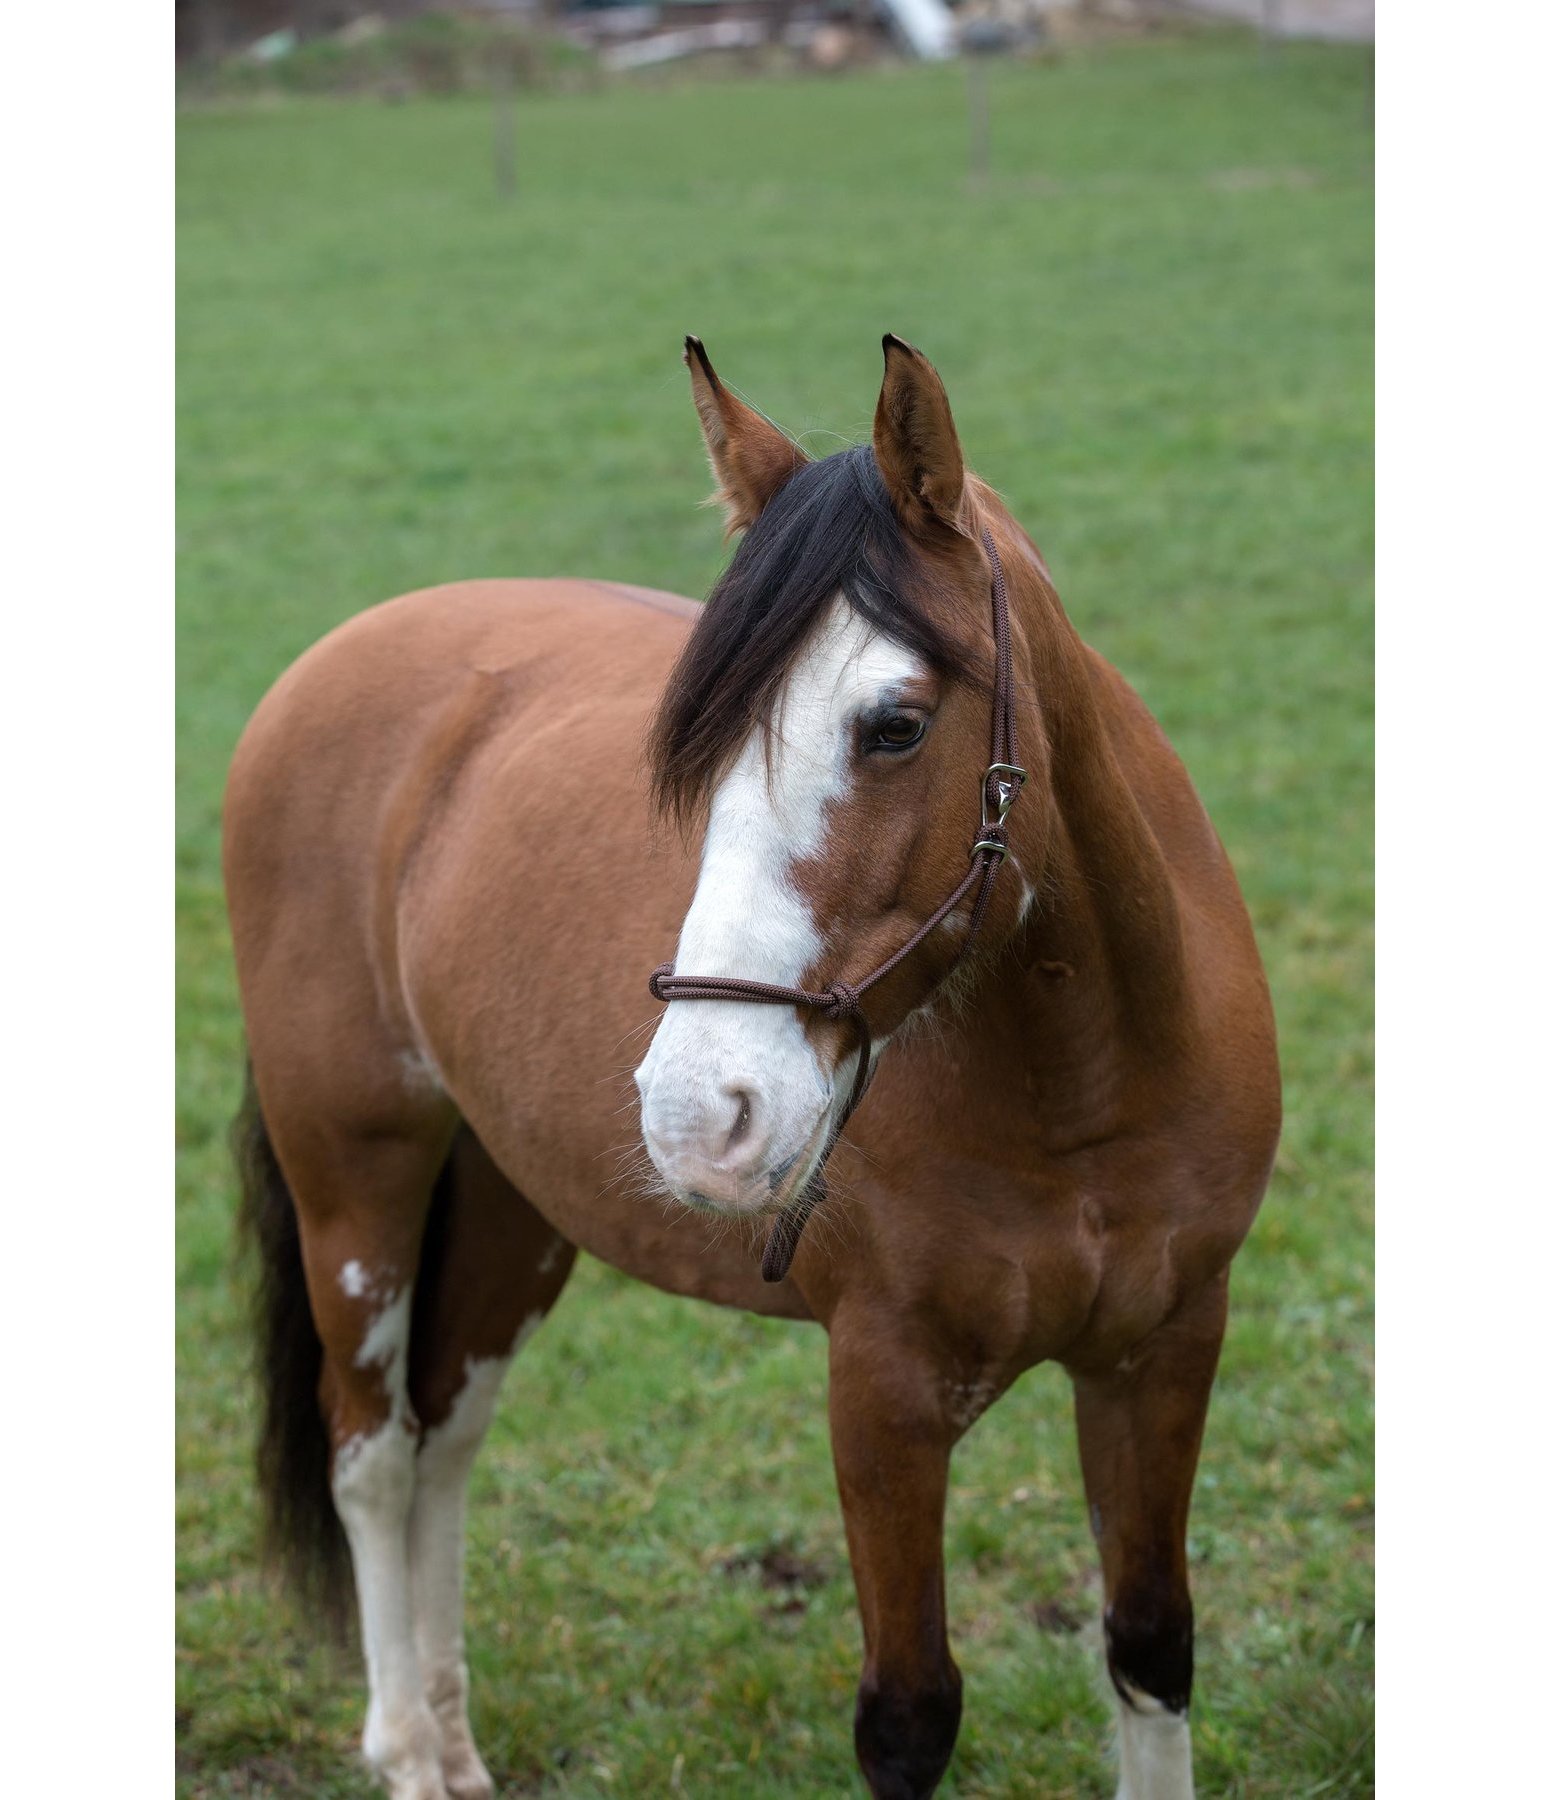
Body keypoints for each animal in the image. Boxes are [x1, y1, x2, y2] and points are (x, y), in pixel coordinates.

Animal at [224, 334, 1280, 1800]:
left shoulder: (1163, 1350)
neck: (1086, 1085)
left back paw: (452, 1735)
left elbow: (1149, 1641)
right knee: (372, 1455)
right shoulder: (882, 1392)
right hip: (356, 1187)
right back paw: (409, 1751)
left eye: (894, 725)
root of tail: (328, 665)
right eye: (695, 742)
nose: (695, 1115)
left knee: (442, 1441)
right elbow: (908, 1714)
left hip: (503, 1209)